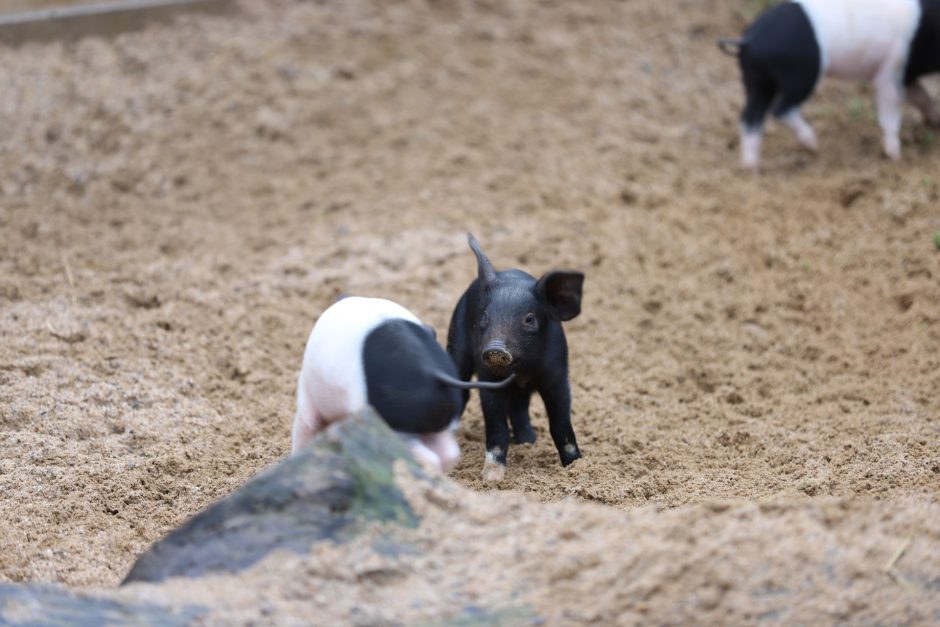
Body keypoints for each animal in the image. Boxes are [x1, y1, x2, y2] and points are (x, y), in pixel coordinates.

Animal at [292, 296, 516, 474]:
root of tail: (434, 373)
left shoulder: (307, 397)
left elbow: (304, 428)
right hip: (438, 425)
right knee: (449, 453)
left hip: (393, 426)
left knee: (427, 455)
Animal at [446, 233, 580, 484]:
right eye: (484, 317)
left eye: (529, 319)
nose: (496, 349)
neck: (522, 368)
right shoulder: (488, 379)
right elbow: (496, 427)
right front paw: (491, 478)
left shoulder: (557, 377)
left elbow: (560, 424)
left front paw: (576, 464)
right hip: (455, 342)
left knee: (520, 404)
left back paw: (528, 441)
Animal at [724, 0, 936, 170]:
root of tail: (748, 39)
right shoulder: (892, 68)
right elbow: (890, 109)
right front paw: (896, 157)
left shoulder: (907, 74)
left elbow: (921, 97)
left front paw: (935, 119)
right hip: (801, 75)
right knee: (780, 109)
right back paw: (814, 145)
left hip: (756, 80)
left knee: (750, 115)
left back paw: (751, 167)